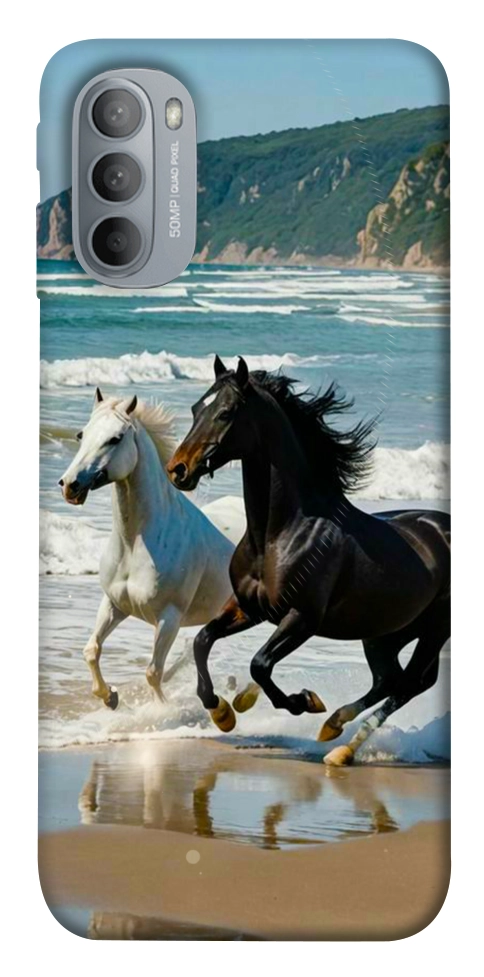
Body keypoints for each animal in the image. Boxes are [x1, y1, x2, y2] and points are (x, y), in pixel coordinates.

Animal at [59, 387, 234, 708]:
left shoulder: (169, 618)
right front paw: (110, 697)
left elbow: (153, 672)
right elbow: (91, 650)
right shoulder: (114, 604)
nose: (69, 485)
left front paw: (161, 711)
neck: (135, 544)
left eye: (115, 438)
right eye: (81, 434)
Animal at [166, 356, 450, 765]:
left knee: (409, 683)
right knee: (391, 679)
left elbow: (260, 664)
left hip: (432, 630)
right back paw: (333, 729)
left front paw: (303, 702)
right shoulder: (249, 608)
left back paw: (341, 746)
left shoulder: (302, 618)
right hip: (385, 633)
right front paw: (222, 712)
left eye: (226, 413)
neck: (279, 534)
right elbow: (203, 641)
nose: (178, 469)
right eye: (195, 409)